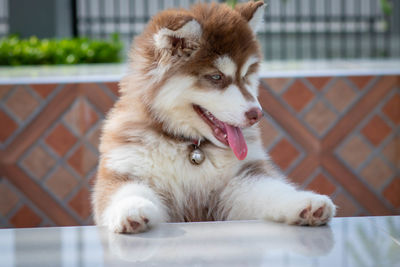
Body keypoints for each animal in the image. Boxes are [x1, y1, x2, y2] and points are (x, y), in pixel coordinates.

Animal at [92, 0, 336, 234]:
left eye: (245, 75)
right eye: (216, 77)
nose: (257, 114)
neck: (192, 148)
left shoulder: (241, 180)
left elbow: (274, 190)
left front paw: (304, 202)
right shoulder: (125, 171)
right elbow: (124, 193)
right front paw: (131, 209)